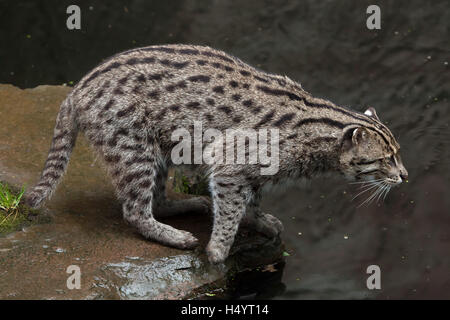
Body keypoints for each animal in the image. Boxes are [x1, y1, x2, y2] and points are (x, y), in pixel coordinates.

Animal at [24, 45, 408, 264]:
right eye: (385, 159)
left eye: (398, 153)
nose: (405, 175)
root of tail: (78, 89)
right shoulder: (231, 161)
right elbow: (231, 209)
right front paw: (219, 248)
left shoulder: (255, 171)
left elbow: (252, 201)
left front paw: (258, 220)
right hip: (133, 149)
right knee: (135, 211)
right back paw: (170, 233)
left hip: (160, 151)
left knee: (158, 199)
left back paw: (186, 205)